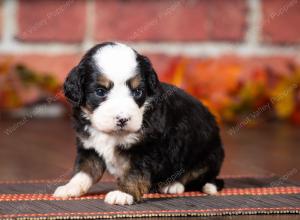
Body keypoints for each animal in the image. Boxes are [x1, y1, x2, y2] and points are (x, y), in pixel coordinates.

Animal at [52, 42, 224, 205]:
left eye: (137, 92)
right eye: (100, 91)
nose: (122, 119)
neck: (113, 134)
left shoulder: (145, 149)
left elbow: (135, 173)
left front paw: (124, 193)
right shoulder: (90, 147)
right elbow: (84, 171)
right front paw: (70, 188)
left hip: (206, 156)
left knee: (197, 177)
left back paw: (174, 185)